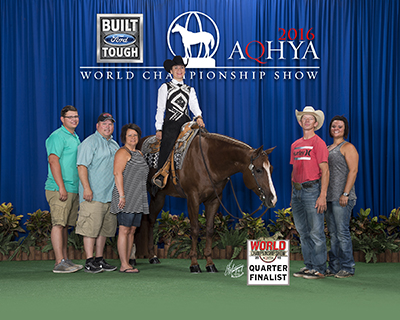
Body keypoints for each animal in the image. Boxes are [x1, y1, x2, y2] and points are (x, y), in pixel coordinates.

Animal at [137, 130, 276, 272]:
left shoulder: (214, 200)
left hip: (159, 196)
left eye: (271, 169)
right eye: (258, 170)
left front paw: (210, 264)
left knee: (150, 220)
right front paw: (194, 264)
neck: (209, 162)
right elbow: (195, 229)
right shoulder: (193, 198)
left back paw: (152, 256)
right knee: (148, 220)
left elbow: (209, 229)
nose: (272, 199)